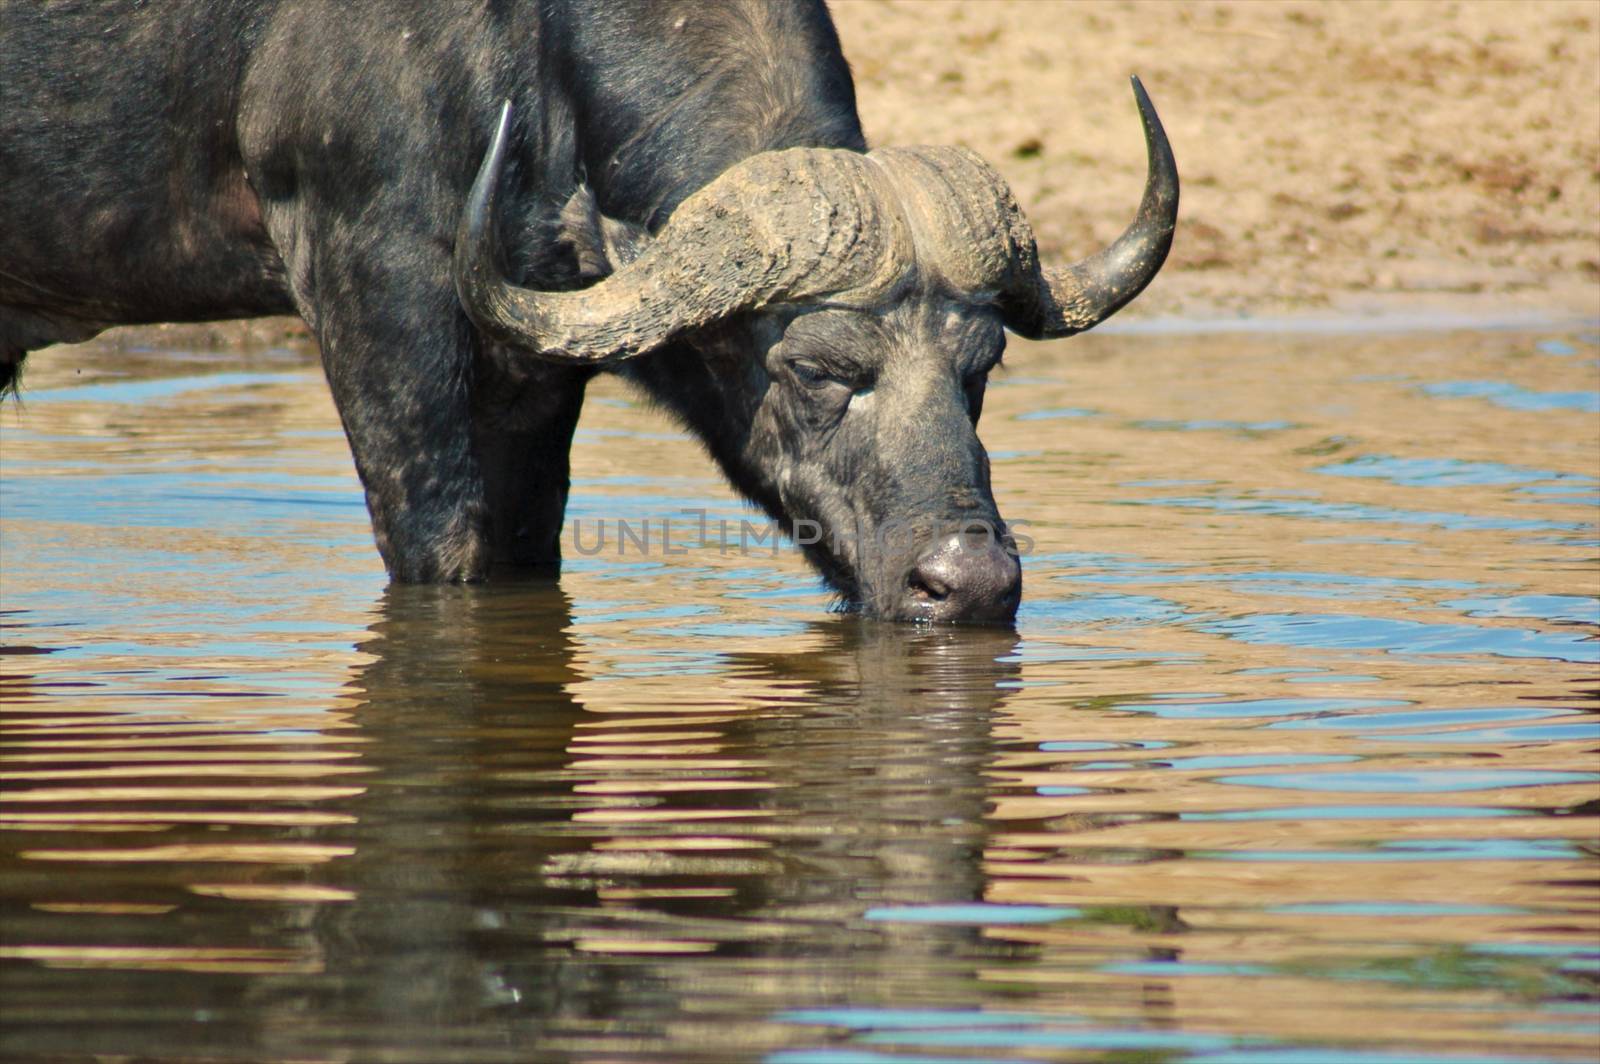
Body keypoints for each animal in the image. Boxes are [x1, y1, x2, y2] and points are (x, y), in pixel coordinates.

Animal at [0, 0, 1177, 617]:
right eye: (816, 370)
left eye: (983, 369)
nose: (970, 584)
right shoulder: (372, 297)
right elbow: (445, 549)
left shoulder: (531, 371)